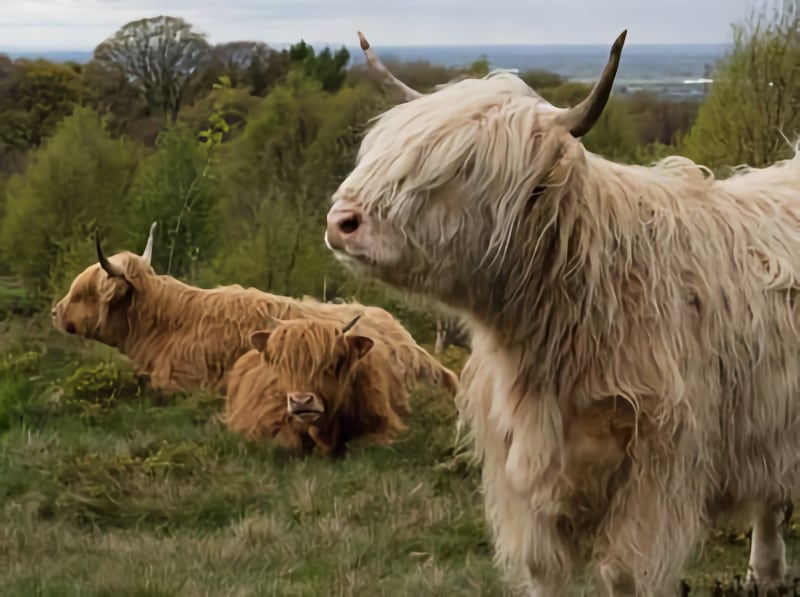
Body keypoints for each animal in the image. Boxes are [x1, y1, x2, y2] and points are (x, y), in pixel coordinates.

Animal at [222, 312, 456, 456]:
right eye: (282, 364)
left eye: (332, 363)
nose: (301, 401)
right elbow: (289, 444)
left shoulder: (384, 426)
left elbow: (359, 446)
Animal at [324, 30, 800, 596]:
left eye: (463, 166)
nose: (341, 221)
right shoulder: (524, 474)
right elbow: (543, 568)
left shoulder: (658, 471)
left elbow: (625, 573)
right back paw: (765, 573)